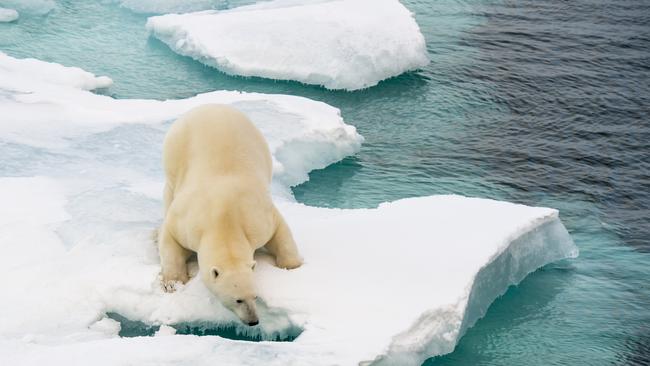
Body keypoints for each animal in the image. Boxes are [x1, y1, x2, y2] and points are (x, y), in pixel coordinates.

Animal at [158, 103, 302, 326]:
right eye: (237, 300)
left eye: (255, 296)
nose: (253, 321)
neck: (224, 219)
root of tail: (211, 105)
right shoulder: (187, 222)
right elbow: (170, 237)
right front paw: (172, 283)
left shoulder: (257, 218)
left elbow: (280, 230)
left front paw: (292, 267)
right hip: (175, 149)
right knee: (170, 189)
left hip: (260, 145)